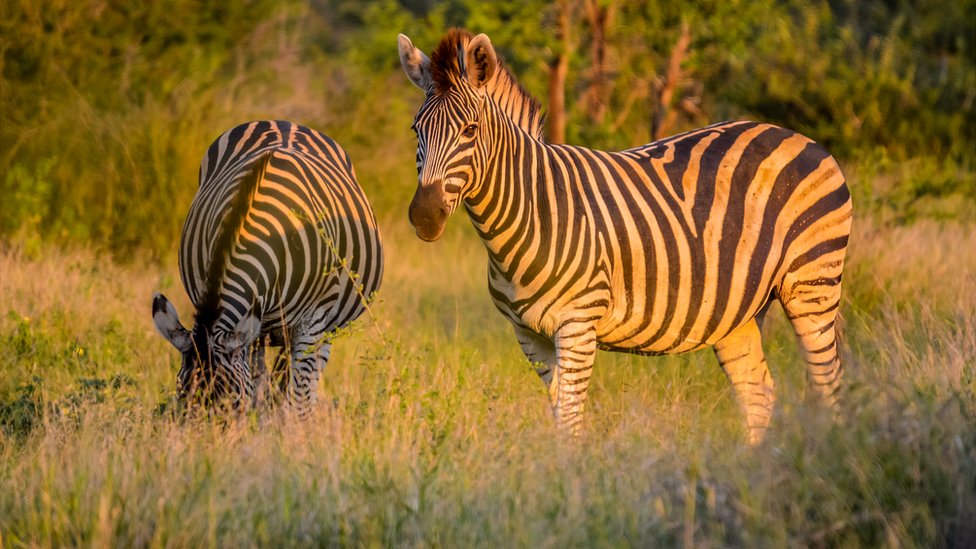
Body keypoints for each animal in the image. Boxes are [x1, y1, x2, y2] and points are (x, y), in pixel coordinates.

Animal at [151, 117, 384, 414]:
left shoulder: (312, 321)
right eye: (182, 403)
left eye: (232, 404)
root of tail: (285, 122)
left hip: (322, 327)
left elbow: (299, 398)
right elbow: (259, 383)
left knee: (306, 377)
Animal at [400, 30, 852, 444]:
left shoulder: (578, 325)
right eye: (416, 129)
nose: (424, 216)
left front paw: (571, 480)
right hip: (736, 313)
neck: (531, 212)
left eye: (470, 130)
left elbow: (571, 422)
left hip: (812, 286)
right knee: (759, 393)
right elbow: (558, 416)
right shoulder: (530, 335)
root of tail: (802, 138)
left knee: (828, 387)